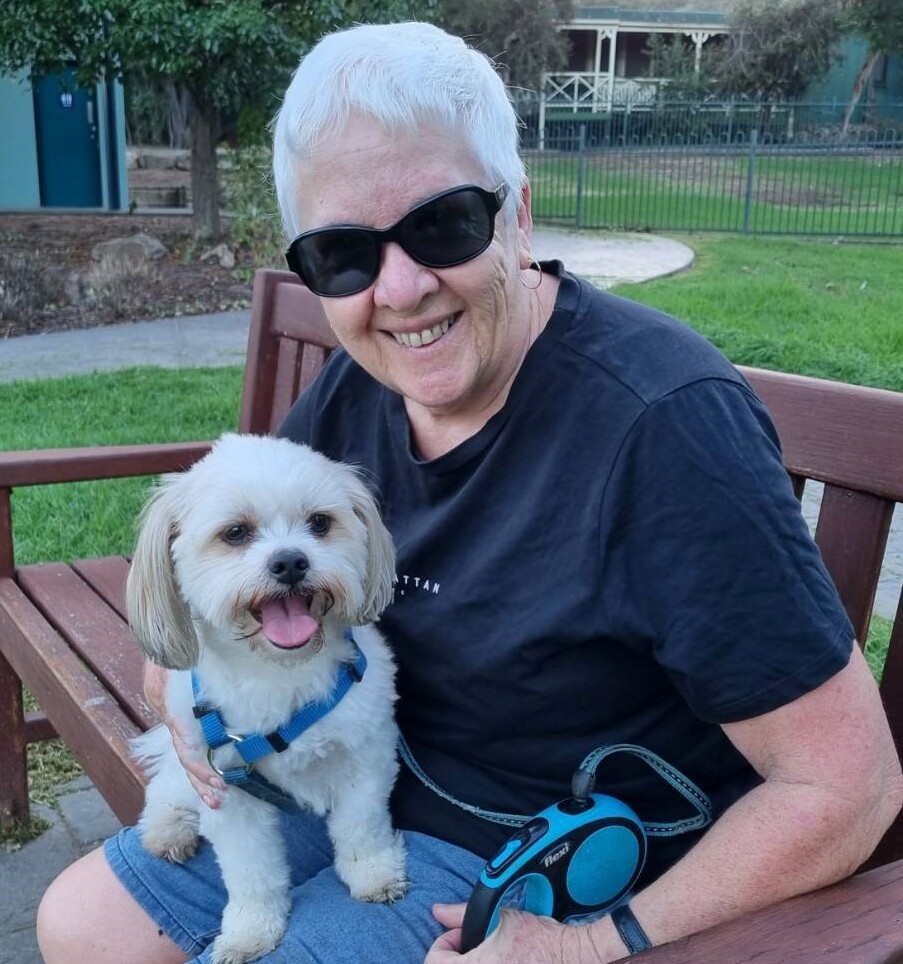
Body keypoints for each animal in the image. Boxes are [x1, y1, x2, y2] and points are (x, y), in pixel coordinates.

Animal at [125, 434, 408, 964]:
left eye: (320, 522)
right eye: (235, 533)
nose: (290, 561)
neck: (279, 674)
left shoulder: (366, 755)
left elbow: (361, 826)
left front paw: (374, 874)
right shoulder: (227, 791)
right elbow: (250, 871)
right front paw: (250, 930)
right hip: (188, 770)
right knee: (166, 788)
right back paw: (167, 828)